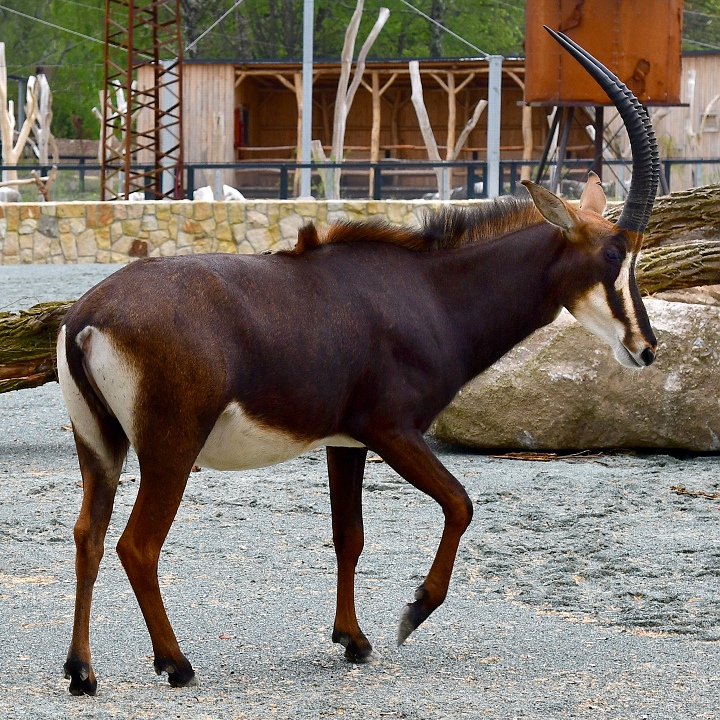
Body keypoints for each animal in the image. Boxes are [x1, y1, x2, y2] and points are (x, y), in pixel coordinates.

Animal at [59, 29, 660, 696]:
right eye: (613, 255)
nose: (646, 348)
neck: (430, 291)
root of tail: (88, 317)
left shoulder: (344, 441)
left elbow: (349, 535)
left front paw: (352, 639)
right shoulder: (391, 429)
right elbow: (459, 503)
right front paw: (410, 614)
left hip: (100, 445)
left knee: (88, 535)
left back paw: (81, 671)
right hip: (171, 446)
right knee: (136, 545)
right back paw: (175, 663)